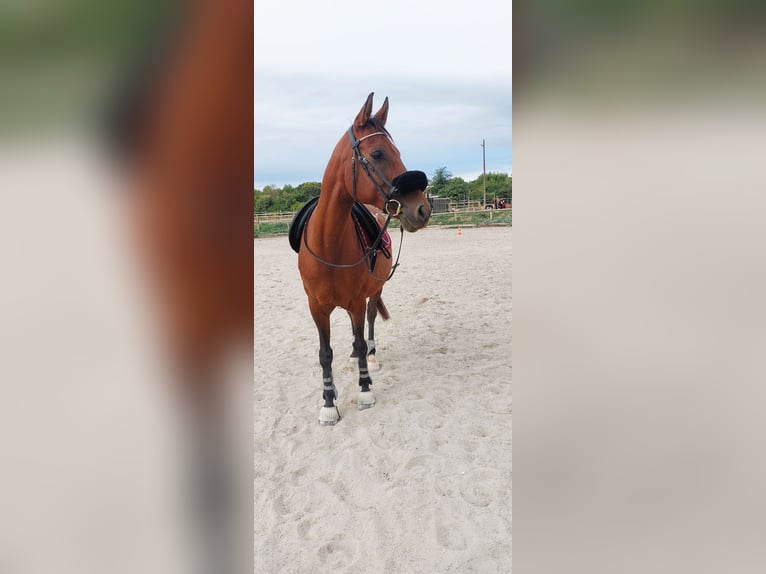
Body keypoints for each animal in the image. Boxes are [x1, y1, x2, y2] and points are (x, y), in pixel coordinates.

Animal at [298, 93, 432, 428]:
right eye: (379, 153)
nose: (422, 209)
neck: (329, 245)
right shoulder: (316, 307)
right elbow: (325, 353)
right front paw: (329, 403)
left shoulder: (357, 301)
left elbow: (360, 338)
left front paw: (365, 391)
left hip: (374, 291)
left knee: (369, 323)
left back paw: (370, 357)